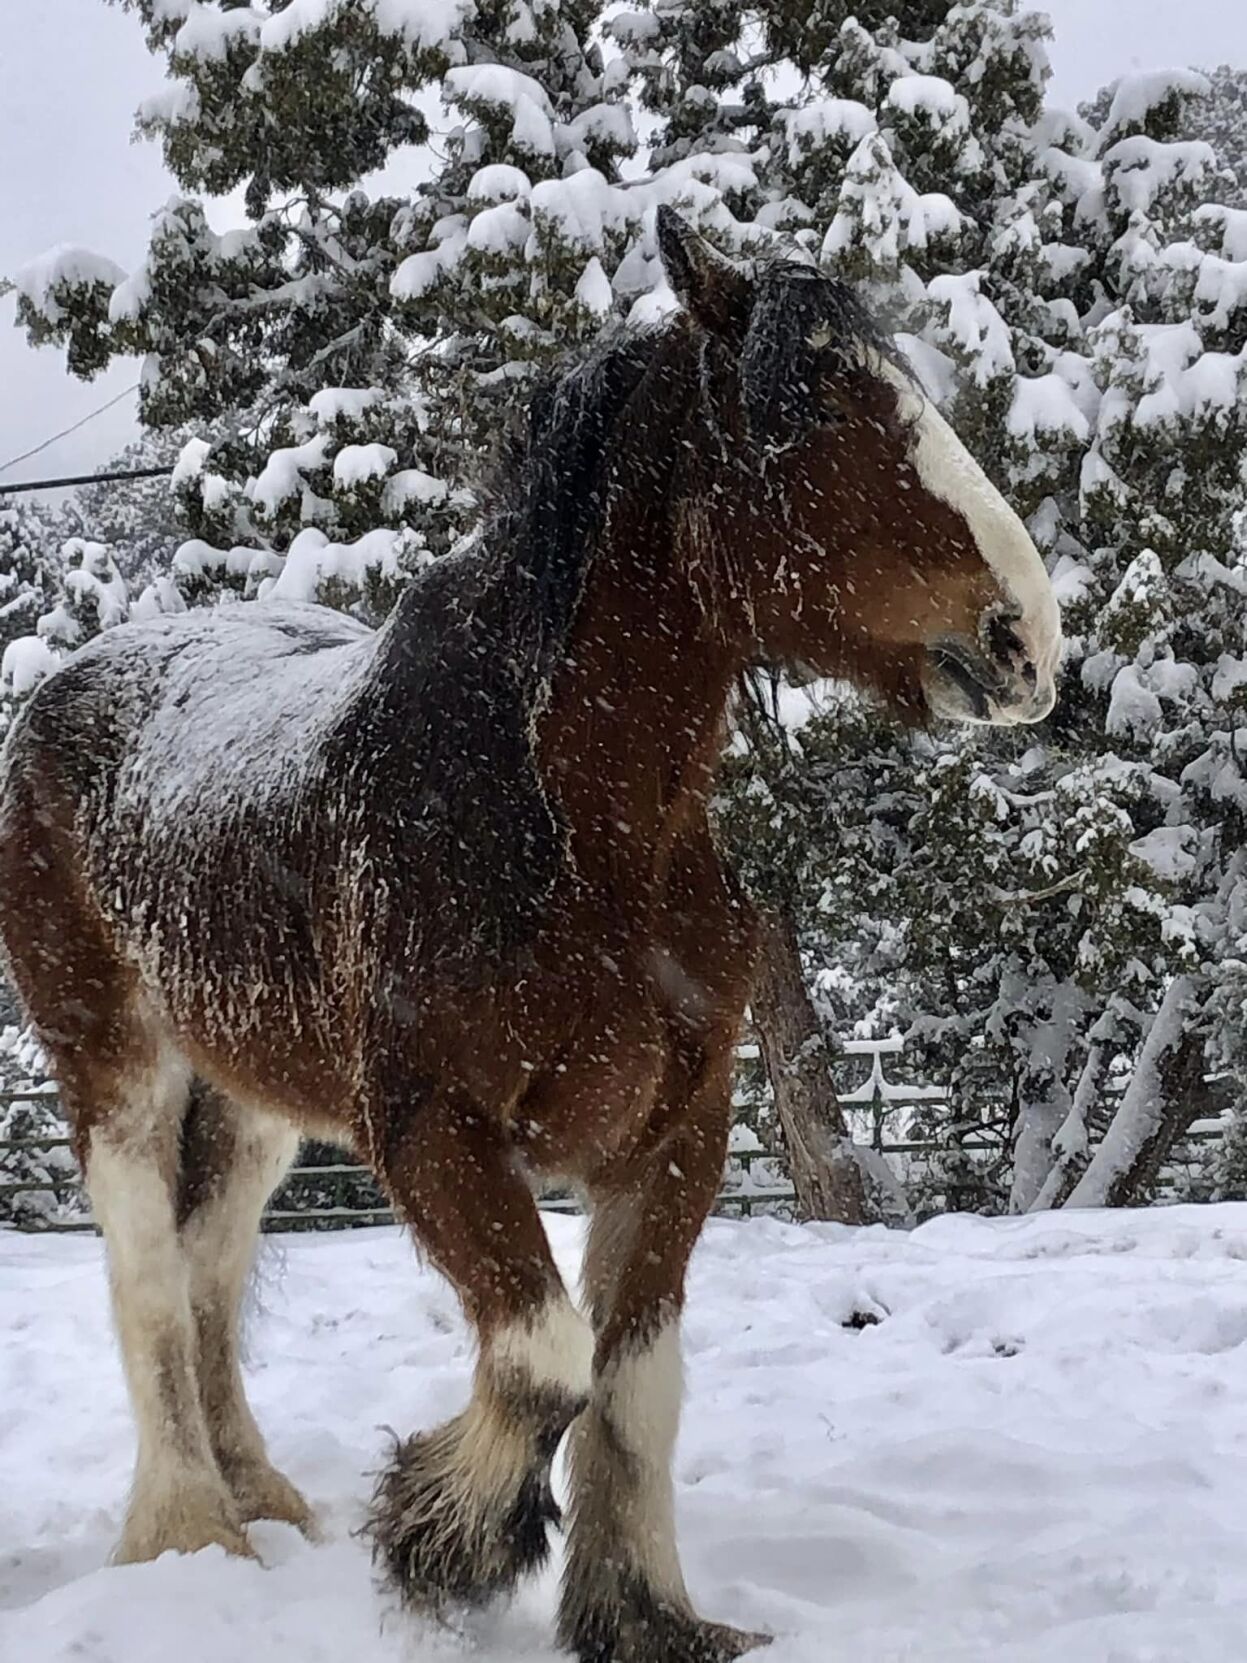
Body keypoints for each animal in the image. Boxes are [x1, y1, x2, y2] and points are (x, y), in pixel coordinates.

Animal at [0, 208, 1059, 1663]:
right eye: (807, 416)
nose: (1028, 639)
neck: (568, 821)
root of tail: (65, 693)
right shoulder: (434, 1133)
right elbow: (544, 1354)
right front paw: (442, 1538)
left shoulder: (673, 1137)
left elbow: (631, 1382)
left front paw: (640, 1609)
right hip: (116, 1064)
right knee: (152, 1273)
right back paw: (187, 1531)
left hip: (257, 1101)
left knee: (211, 1268)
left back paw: (261, 1497)